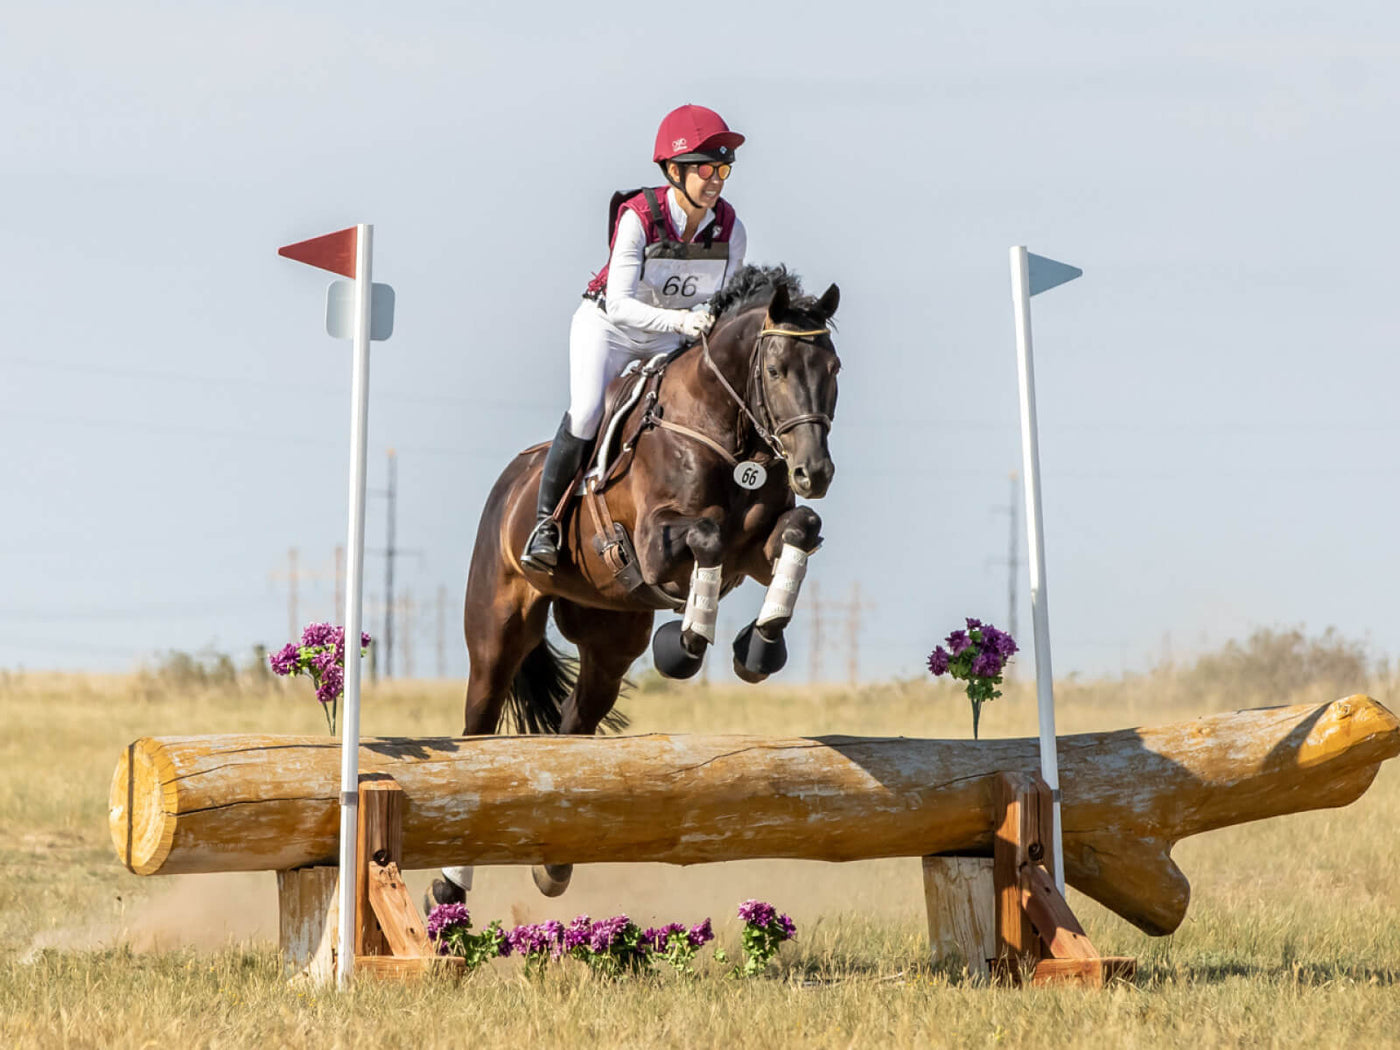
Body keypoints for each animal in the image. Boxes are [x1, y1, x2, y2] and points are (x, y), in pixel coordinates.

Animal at [445, 265, 841, 900]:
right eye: (776, 369)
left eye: (833, 370)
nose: (814, 472)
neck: (726, 432)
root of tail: (510, 484)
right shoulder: (658, 546)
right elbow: (706, 535)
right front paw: (686, 645)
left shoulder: (758, 549)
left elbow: (800, 529)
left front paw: (759, 646)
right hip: (497, 632)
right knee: (477, 730)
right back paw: (448, 893)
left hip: (610, 640)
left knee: (575, 726)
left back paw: (554, 864)